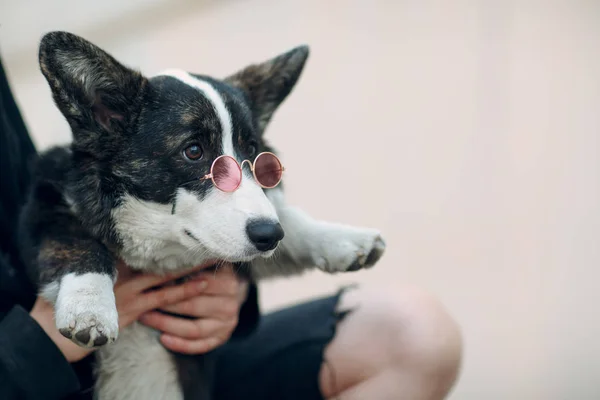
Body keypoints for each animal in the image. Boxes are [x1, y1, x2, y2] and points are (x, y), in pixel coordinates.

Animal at [18, 32, 386, 400]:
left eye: (252, 149)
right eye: (193, 151)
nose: (269, 236)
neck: (161, 250)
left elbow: (288, 219)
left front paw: (342, 239)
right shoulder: (44, 208)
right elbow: (77, 244)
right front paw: (90, 308)